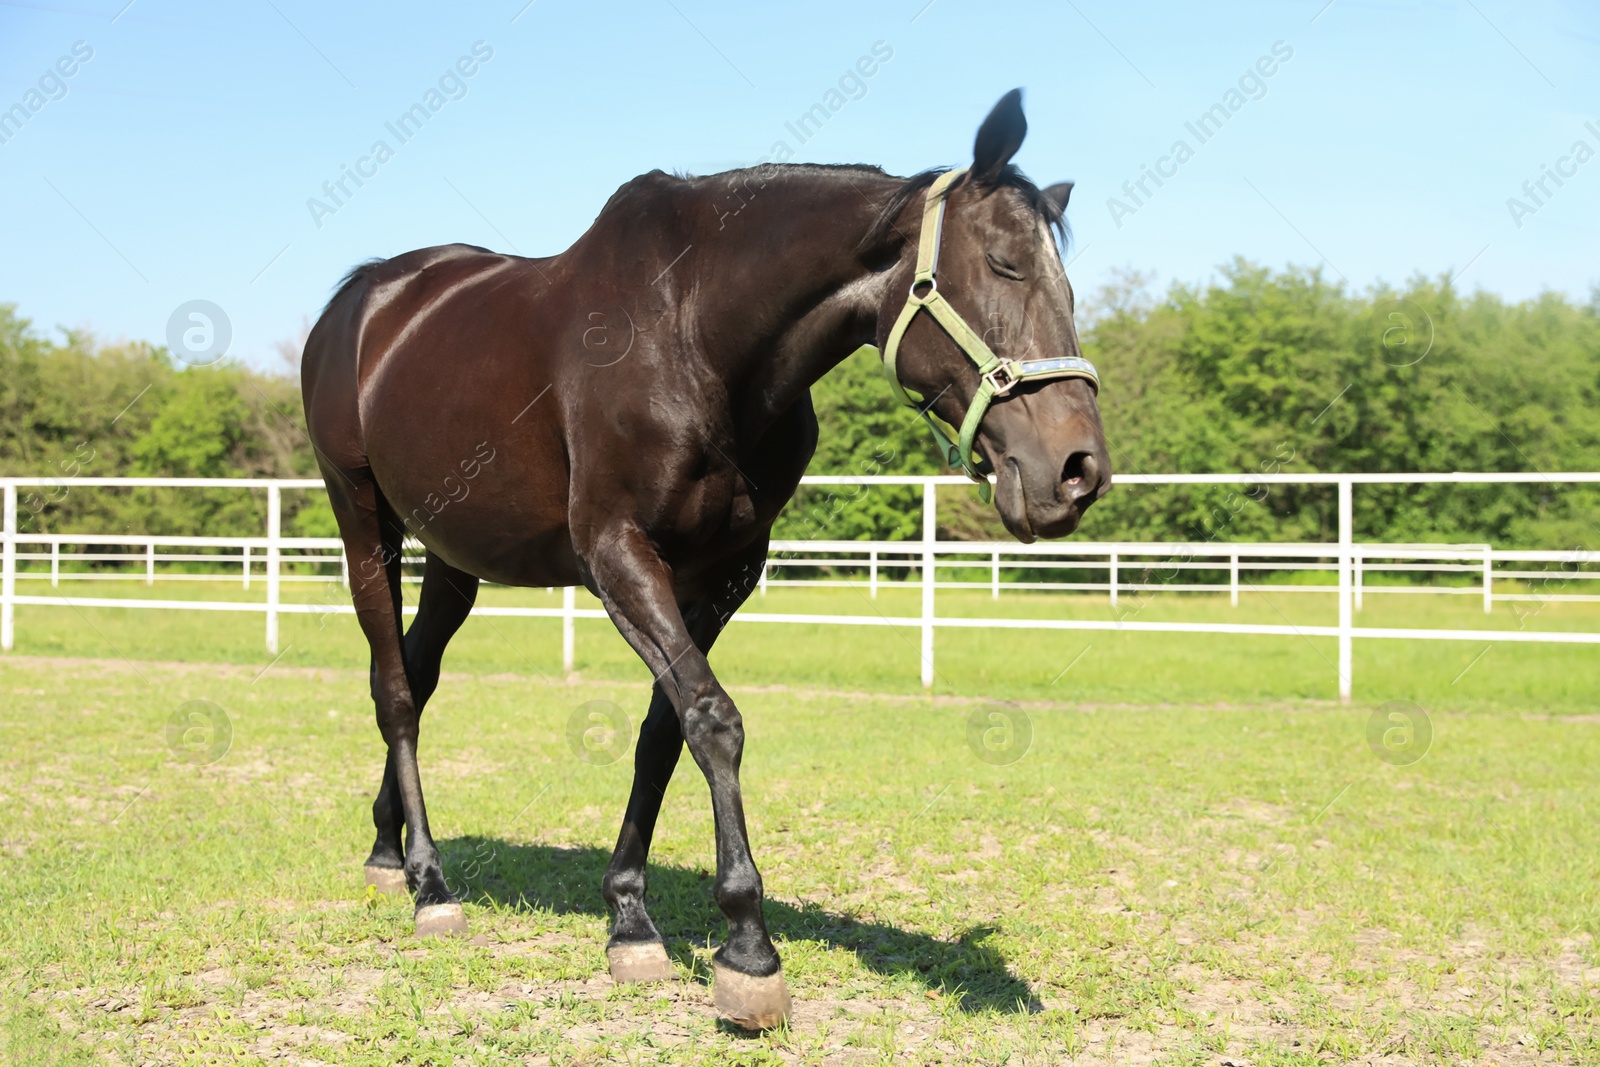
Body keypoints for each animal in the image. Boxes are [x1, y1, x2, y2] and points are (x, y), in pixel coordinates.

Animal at [300, 91, 1107, 1036]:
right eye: (1004, 263)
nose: (1077, 470)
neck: (693, 332)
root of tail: (366, 296)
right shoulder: (618, 554)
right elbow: (714, 719)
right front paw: (748, 950)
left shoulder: (723, 572)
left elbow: (664, 730)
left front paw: (630, 918)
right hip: (363, 521)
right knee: (394, 691)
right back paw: (429, 882)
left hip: (454, 554)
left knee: (418, 678)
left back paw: (387, 847)